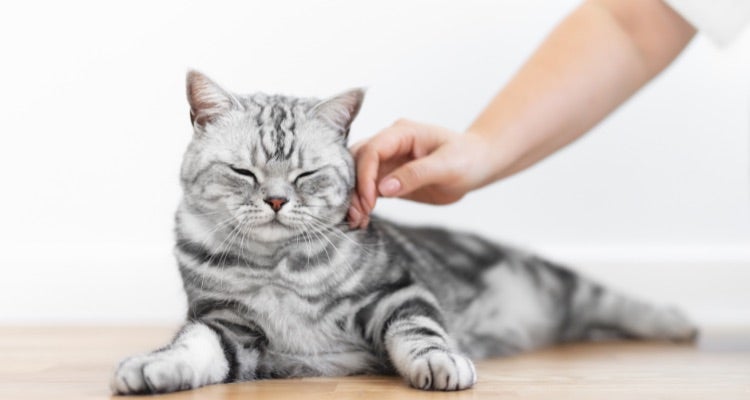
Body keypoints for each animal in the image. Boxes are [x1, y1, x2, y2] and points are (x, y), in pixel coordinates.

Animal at [110, 71, 700, 394]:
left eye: (305, 174)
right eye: (244, 172)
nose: (276, 200)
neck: (277, 269)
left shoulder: (396, 292)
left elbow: (419, 332)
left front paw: (440, 363)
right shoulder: (229, 326)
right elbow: (193, 349)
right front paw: (151, 368)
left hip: (555, 282)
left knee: (612, 300)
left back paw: (678, 323)